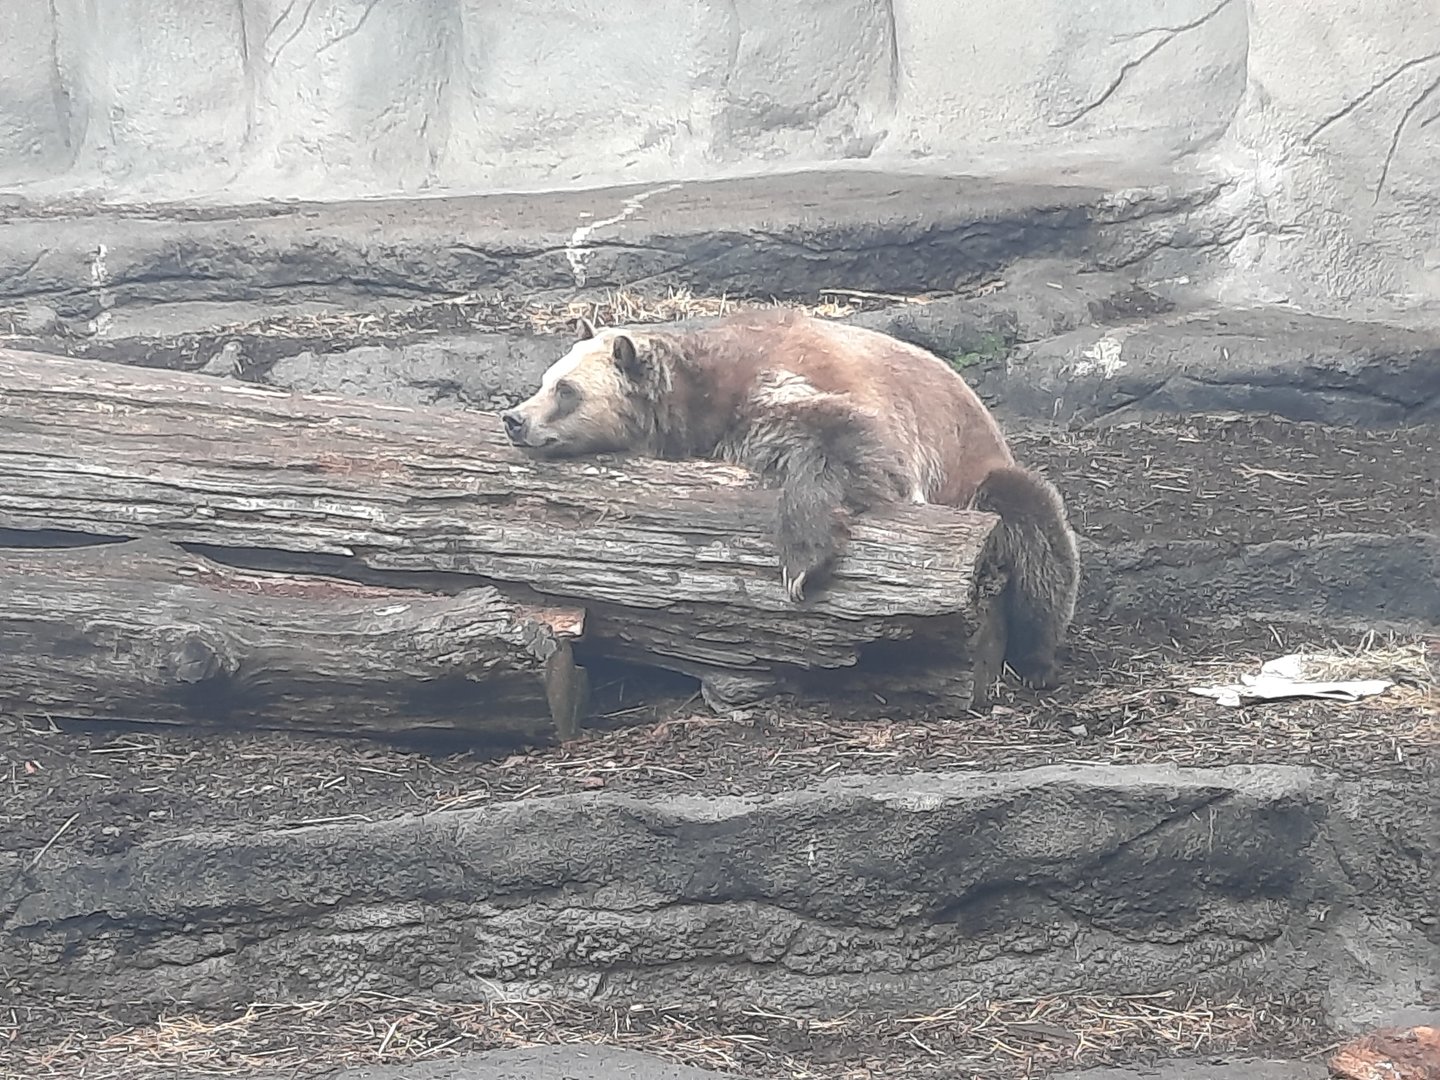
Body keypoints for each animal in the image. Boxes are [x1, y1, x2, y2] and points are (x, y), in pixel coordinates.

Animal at [500, 309, 1081, 688]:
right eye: (545, 380)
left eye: (566, 390)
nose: (514, 419)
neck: (694, 400)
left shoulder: (782, 383)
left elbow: (853, 442)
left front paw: (802, 562)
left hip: (972, 474)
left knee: (1034, 529)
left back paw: (1036, 657)